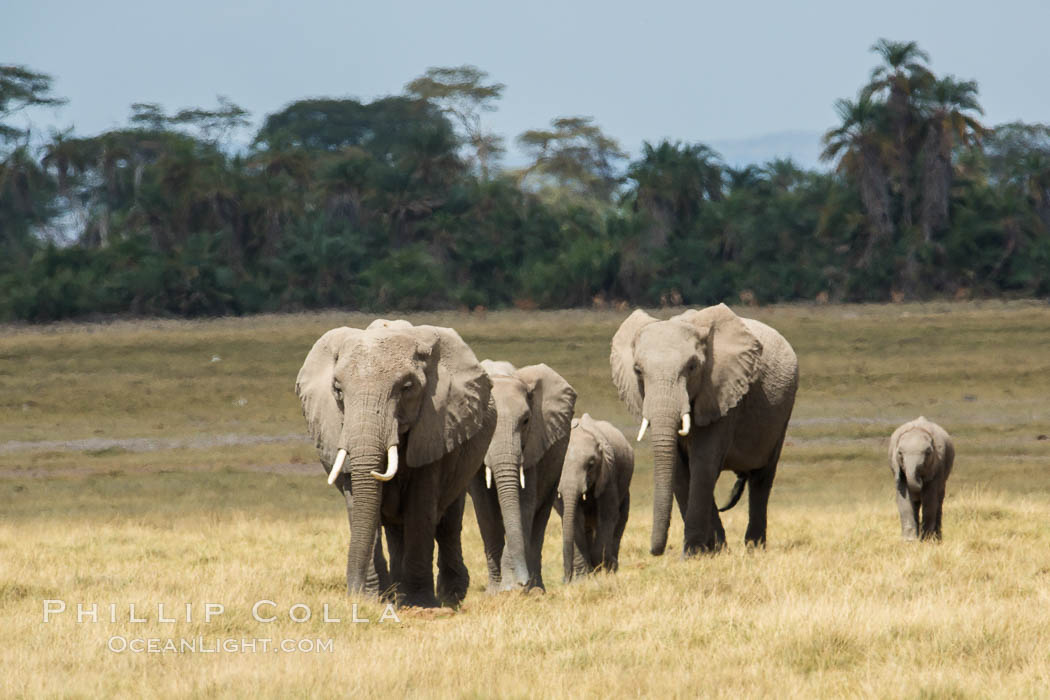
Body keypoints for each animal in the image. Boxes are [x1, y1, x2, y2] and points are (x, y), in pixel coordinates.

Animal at [291, 321, 495, 604]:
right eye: (338, 390)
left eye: (407, 387)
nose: (352, 594)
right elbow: (359, 506)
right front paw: (374, 599)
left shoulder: (435, 423)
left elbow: (420, 507)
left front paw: (421, 604)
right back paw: (397, 592)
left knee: (448, 522)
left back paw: (449, 596)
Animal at [472, 361, 579, 591]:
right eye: (484, 424)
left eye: (526, 421)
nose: (522, 581)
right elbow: (485, 510)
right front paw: (496, 591)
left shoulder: (534, 443)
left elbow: (525, 505)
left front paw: (512, 588)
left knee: (541, 515)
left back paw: (537, 589)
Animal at [554, 413, 634, 583]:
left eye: (591, 464)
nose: (565, 579)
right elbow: (574, 519)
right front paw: (581, 579)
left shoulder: (608, 474)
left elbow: (607, 516)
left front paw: (604, 569)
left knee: (620, 519)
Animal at [609, 304, 793, 554]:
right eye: (637, 370)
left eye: (692, 367)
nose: (654, 551)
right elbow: (679, 469)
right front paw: (712, 550)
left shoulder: (720, 391)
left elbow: (703, 463)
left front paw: (693, 554)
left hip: (782, 413)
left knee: (762, 478)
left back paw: (754, 548)